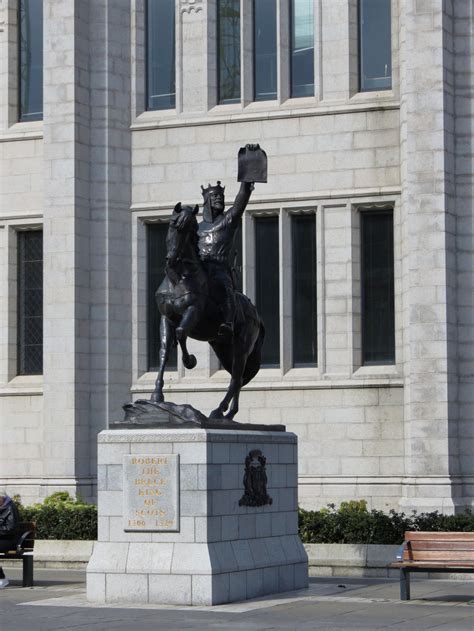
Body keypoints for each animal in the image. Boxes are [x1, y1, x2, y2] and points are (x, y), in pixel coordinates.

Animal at [151, 204, 264, 420]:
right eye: (172, 224)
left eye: (187, 229)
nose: (171, 259)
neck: (178, 278)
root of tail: (256, 316)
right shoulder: (166, 317)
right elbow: (164, 350)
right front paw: (157, 395)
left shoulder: (193, 311)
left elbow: (181, 333)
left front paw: (189, 361)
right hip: (223, 348)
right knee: (238, 376)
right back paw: (229, 414)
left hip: (241, 346)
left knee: (237, 377)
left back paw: (219, 410)